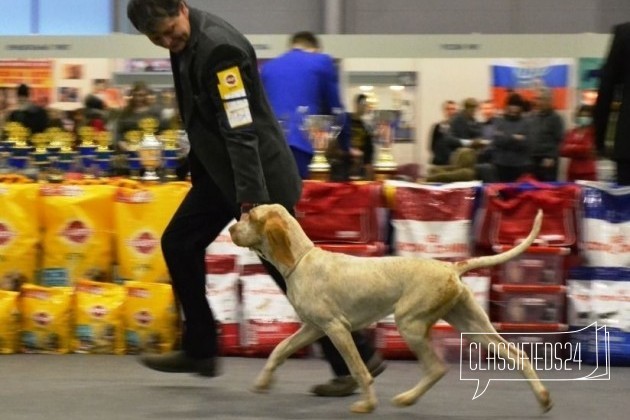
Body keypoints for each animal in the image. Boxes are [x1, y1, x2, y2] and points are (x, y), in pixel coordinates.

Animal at [231, 203, 552, 414]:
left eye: (251, 216)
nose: (232, 228)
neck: (301, 260)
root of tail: (451, 267)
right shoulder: (313, 328)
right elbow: (279, 350)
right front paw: (262, 383)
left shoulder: (336, 328)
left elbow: (359, 369)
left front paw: (367, 404)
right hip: (472, 327)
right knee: (519, 355)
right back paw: (544, 399)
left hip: (409, 323)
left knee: (436, 367)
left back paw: (407, 399)